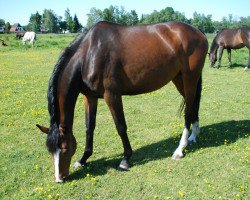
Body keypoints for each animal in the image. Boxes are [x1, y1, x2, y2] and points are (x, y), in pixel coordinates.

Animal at [36, 21, 208, 182]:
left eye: (65, 149)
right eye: (50, 150)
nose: (59, 178)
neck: (89, 54)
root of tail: (198, 32)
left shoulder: (112, 95)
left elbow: (121, 127)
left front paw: (125, 160)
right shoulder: (90, 97)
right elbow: (89, 127)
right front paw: (83, 159)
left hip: (189, 77)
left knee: (188, 111)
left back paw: (180, 149)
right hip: (179, 78)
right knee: (193, 105)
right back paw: (193, 136)